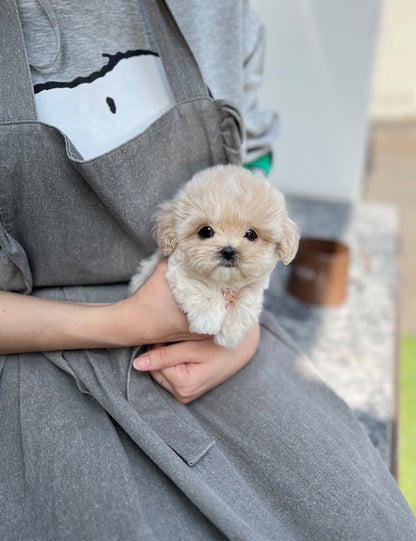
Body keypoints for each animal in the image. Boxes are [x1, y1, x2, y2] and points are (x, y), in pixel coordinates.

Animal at [130, 165, 300, 348]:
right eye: (205, 231)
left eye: (251, 234)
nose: (228, 251)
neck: (224, 282)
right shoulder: (177, 268)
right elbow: (200, 287)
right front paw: (208, 320)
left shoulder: (256, 284)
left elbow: (247, 300)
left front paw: (231, 334)